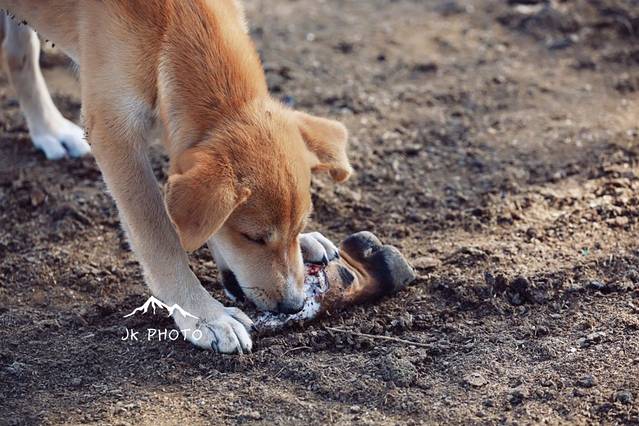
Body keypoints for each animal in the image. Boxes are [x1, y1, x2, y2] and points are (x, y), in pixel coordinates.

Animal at [2, 0, 352, 354]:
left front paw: (306, 241)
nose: (293, 306)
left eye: (298, 227)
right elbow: (159, 236)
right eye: (252, 237)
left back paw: (48, 129)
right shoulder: (114, 133)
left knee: (18, 53)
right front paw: (203, 315)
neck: (175, 21)